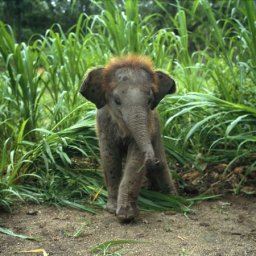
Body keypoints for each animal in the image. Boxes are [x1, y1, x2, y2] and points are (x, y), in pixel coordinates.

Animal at [81, 54, 177, 222]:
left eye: (149, 101)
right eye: (117, 101)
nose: (153, 161)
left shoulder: (148, 124)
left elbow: (135, 160)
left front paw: (126, 216)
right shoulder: (103, 123)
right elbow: (109, 158)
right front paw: (112, 209)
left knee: (162, 164)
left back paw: (173, 199)